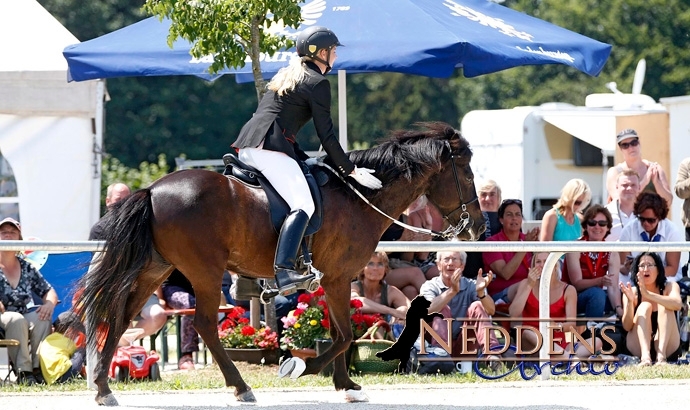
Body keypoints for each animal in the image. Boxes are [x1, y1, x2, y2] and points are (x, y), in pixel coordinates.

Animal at [76, 120, 484, 406]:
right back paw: (241, 388)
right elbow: (344, 336)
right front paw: (300, 368)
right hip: (204, 272)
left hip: (154, 269)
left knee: (120, 316)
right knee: (205, 324)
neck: (359, 197)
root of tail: (152, 189)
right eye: (467, 173)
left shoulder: (332, 281)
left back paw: (103, 389)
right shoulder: (339, 277)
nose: (478, 227)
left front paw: (346, 386)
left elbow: (339, 333)